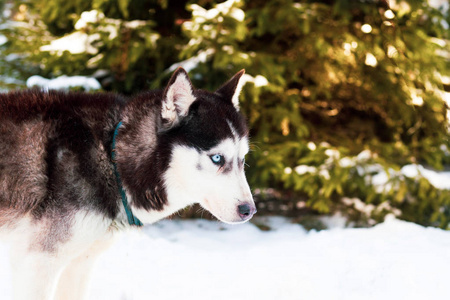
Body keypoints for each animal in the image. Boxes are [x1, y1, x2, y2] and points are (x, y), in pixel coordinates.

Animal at [0, 68, 256, 300]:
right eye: (217, 158)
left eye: (243, 159)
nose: (249, 210)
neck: (111, 156)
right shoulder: (37, 262)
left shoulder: (79, 263)